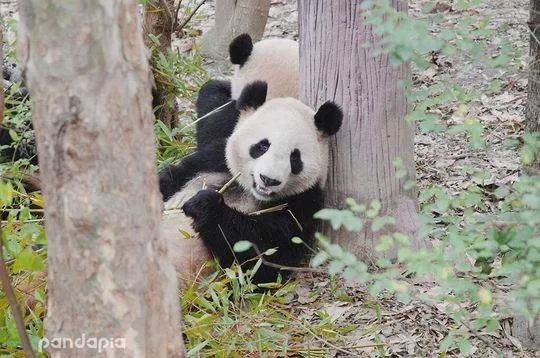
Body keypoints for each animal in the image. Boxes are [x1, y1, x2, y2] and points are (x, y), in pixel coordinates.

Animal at [159, 81, 342, 288]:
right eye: (262, 146)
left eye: (295, 157)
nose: (269, 180)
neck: (248, 191)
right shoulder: (213, 161)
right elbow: (171, 178)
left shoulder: (304, 202)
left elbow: (267, 257)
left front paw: (205, 205)